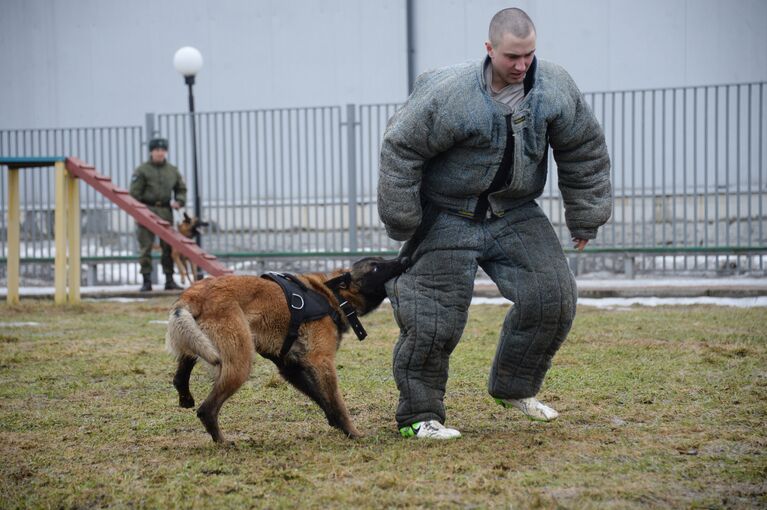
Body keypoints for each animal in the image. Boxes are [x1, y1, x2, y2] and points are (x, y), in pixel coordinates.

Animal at [166, 256, 412, 440]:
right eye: (376, 267)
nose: (403, 258)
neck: (332, 296)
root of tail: (194, 294)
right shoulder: (321, 362)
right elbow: (336, 400)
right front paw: (352, 432)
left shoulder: (290, 367)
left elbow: (320, 396)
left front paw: (334, 422)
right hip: (240, 363)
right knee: (207, 410)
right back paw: (223, 442)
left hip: (199, 342)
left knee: (181, 374)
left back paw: (185, 396)